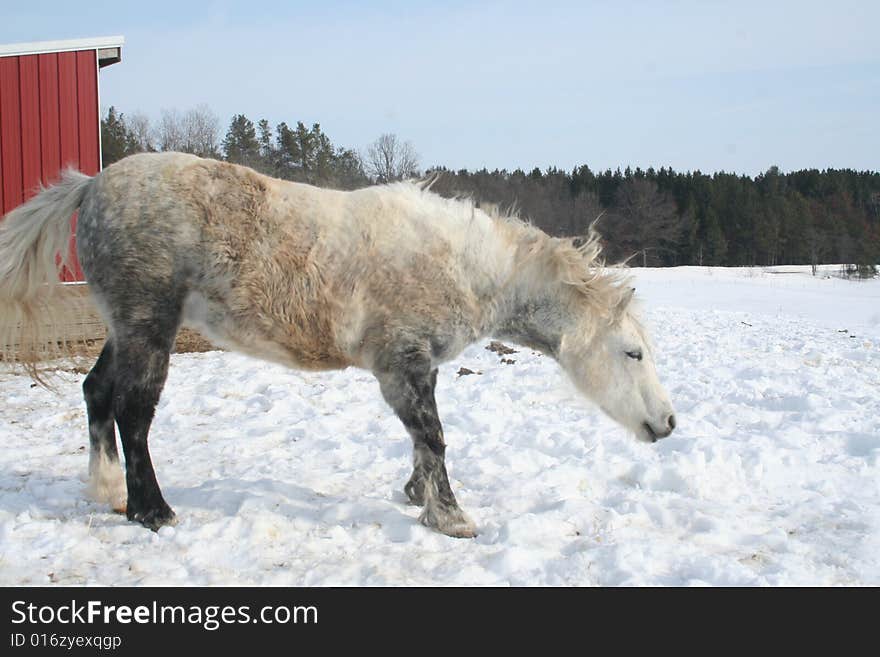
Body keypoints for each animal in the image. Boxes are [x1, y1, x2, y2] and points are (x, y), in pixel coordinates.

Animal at [0, 151, 672, 536]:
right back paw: (152, 512)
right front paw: (450, 516)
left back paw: (109, 490)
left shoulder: (414, 367)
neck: (462, 264)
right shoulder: (402, 363)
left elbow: (421, 439)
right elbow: (433, 437)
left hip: (125, 329)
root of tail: (92, 186)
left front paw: (417, 495)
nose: (666, 424)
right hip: (148, 326)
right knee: (134, 411)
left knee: (96, 393)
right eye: (632, 353)